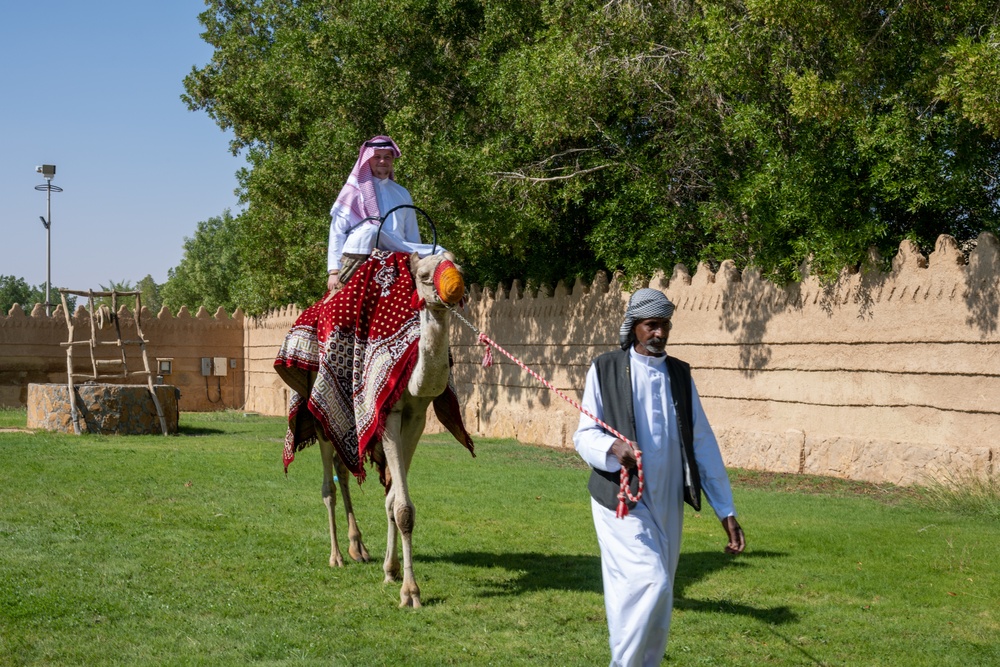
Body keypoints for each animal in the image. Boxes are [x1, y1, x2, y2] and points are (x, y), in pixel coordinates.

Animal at [314, 252, 466, 612]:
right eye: (423, 275)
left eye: (459, 265)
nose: (454, 289)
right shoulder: (389, 413)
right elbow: (403, 508)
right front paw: (411, 592)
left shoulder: (417, 415)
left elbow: (394, 501)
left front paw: (392, 570)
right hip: (322, 415)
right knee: (328, 484)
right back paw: (337, 556)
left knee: (344, 468)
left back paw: (358, 548)